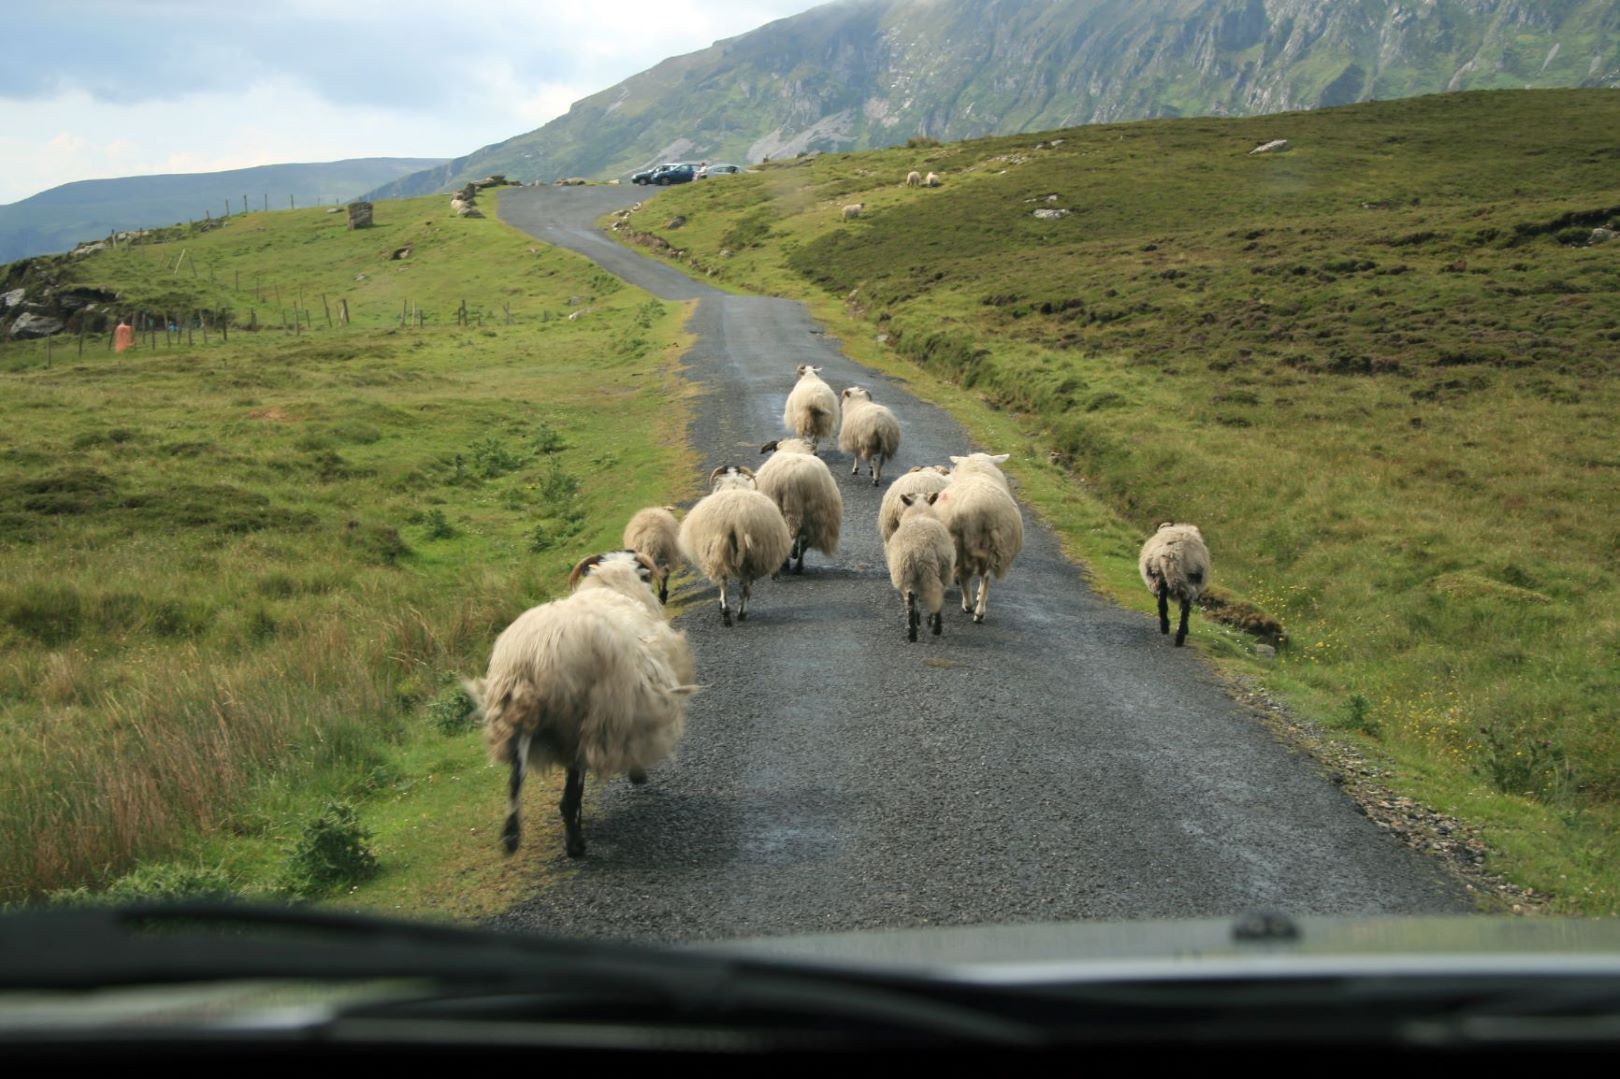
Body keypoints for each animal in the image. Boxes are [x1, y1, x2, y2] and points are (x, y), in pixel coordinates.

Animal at [466, 547, 699, 855]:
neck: (612, 584)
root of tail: (535, 657)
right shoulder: (624, 706)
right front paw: (637, 773)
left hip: (516, 718)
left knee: (515, 780)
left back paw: (511, 836)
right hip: (581, 720)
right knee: (570, 793)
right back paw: (575, 844)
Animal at [677, 463, 790, 622]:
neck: (733, 485)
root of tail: (737, 520)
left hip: (721, 552)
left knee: (725, 582)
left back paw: (728, 612)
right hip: (751, 556)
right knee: (745, 587)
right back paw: (739, 613)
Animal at [751, 434, 842, 576]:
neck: (795, 449)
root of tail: (792, 482)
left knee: (790, 538)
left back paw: (783, 567)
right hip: (814, 517)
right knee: (803, 542)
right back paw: (798, 567)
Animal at [887, 492, 946, 641]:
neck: (919, 511)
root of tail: (923, 550)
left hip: (907, 572)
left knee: (912, 599)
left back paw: (915, 631)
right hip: (940, 570)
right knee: (934, 594)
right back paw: (931, 628)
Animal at [933, 450, 1017, 622]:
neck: (978, 469)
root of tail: (981, 509)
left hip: (958, 542)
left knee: (965, 574)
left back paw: (968, 605)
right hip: (994, 544)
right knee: (986, 575)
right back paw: (979, 611)